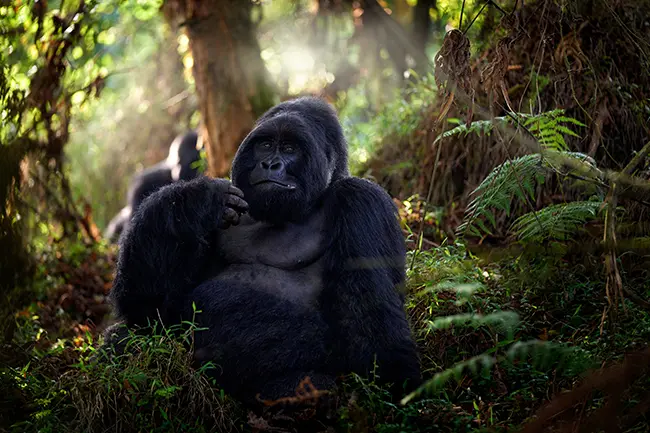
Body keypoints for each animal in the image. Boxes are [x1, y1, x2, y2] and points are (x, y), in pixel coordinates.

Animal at [107, 97, 420, 402]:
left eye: (290, 148)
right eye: (266, 145)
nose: (270, 164)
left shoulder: (363, 200)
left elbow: (369, 335)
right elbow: (148, 308)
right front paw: (194, 200)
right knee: (130, 336)